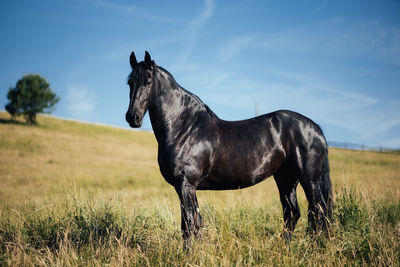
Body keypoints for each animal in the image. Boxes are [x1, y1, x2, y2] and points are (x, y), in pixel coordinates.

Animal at [126, 50, 332, 245]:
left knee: (319, 212)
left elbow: (188, 224)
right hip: (286, 179)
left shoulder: (185, 184)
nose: (132, 117)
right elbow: (197, 223)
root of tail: (315, 128)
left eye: (148, 80)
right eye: (129, 82)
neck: (184, 128)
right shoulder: (189, 187)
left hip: (309, 179)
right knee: (292, 213)